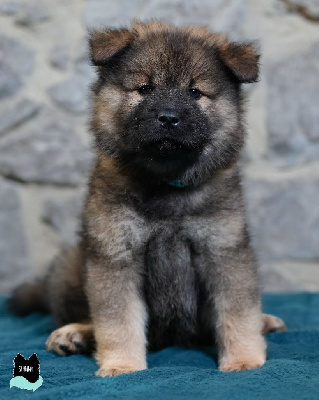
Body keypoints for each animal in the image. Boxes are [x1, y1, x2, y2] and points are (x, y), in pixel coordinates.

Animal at [8, 21, 288, 378]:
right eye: (144, 88)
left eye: (195, 92)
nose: (168, 117)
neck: (165, 185)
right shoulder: (116, 254)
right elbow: (117, 320)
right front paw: (122, 364)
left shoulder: (223, 251)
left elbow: (237, 313)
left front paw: (243, 359)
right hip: (69, 267)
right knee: (85, 315)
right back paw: (74, 334)